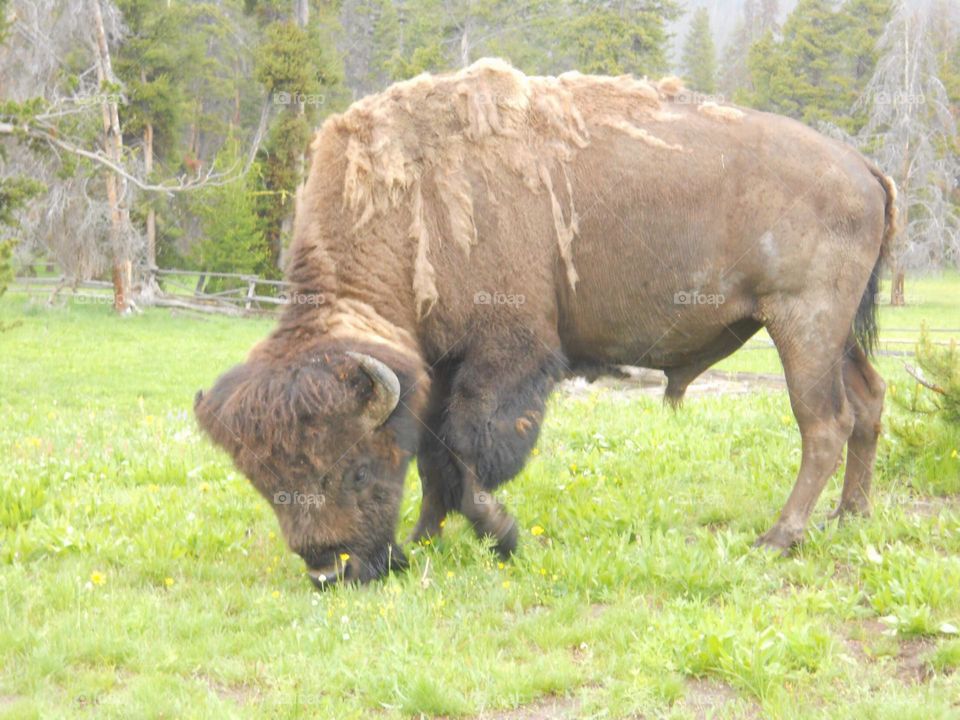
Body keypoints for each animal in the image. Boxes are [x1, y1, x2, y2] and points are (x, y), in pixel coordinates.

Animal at [195, 59, 895, 587]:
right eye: (263, 483)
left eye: (356, 470)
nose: (331, 572)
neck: (410, 197)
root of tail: (863, 166)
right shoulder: (438, 366)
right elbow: (432, 459)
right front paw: (426, 539)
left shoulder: (506, 354)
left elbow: (469, 450)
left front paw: (501, 534)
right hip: (834, 337)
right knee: (867, 402)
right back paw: (851, 517)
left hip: (803, 323)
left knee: (822, 423)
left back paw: (777, 537)